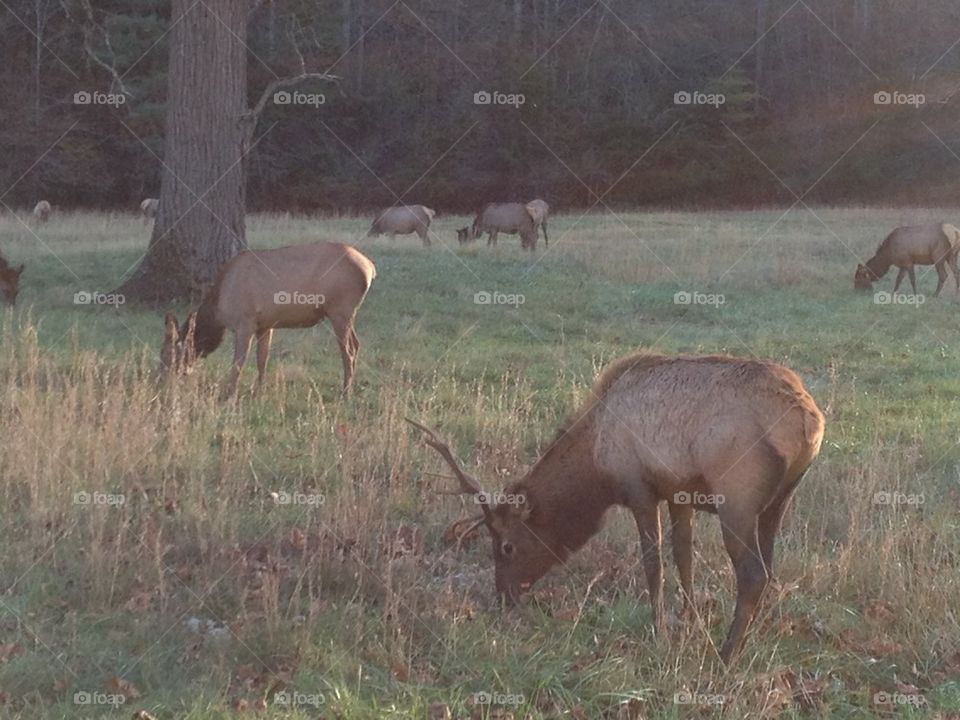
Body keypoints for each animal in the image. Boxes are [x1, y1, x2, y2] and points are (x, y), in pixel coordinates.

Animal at [161, 245, 376, 396]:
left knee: (348, 351)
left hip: (340, 311)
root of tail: (370, 268)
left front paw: (230, 394)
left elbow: (238, 362)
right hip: (346, 314)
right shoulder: (265, 325)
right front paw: (259, 390)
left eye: (167, 355)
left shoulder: (245, 322)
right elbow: (262, 359)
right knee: (357, 344)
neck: (218, 310)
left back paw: (345, 392)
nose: (160, 381)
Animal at [406, 352, 824, 664]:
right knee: (768, 568)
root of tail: (810, 420)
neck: (596, 464)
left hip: (737, 496)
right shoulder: (679, 493)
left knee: (752, 573)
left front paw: (660, 632)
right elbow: (684, 558)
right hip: (780, 499)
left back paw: (726, 655)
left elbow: (653, 565)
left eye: (506, 546)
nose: (503, 597)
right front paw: (689, 623)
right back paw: (749, 641)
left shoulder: (639, 488)